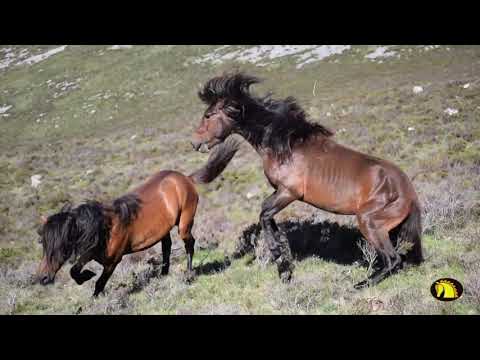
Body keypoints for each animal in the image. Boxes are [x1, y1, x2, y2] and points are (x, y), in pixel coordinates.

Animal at [36, 139, 240, 296]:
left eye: (60, 245)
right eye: (44, 244)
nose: (42, 278)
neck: (105, 227)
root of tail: (186, 179)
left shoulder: (113, 261)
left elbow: (99, 284)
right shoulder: (91, 252)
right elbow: (74, 270)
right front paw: (86, 275)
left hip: (184, 224)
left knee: (189, 244)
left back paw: (189, 275)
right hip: (164, 229)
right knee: (167, 247)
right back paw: (163, 274)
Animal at [191, 71, 424, 288]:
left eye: (208, 115)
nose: (195, 143)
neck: (286, 144)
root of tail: (408, 191)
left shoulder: (289, 192)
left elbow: (264, 213)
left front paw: (279, 258)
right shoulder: (280, 192)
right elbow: (269, 217)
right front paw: (284, 262)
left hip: (369, 222)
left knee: (393, 259)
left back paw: (360, 284)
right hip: (389, 227)